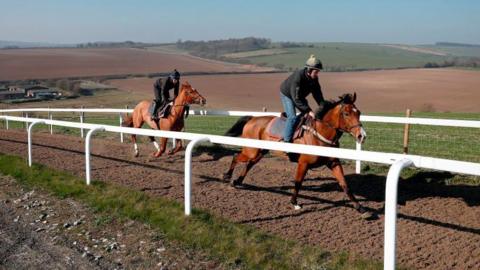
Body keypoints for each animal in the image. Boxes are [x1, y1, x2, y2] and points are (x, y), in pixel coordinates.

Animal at [223, 93, 370, 215]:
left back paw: (237, 181)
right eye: (346, 113)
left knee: (249, 164)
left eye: (359, 113)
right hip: (251, 150)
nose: (361, 135)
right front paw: (294, 203)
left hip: (259, 152)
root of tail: (252, 119)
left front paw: (360, 207)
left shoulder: (333, 163)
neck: (318, 135)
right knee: (236, 157)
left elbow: (345, 185)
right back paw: (227, 176)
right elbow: (298, 182)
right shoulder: (303, 163)